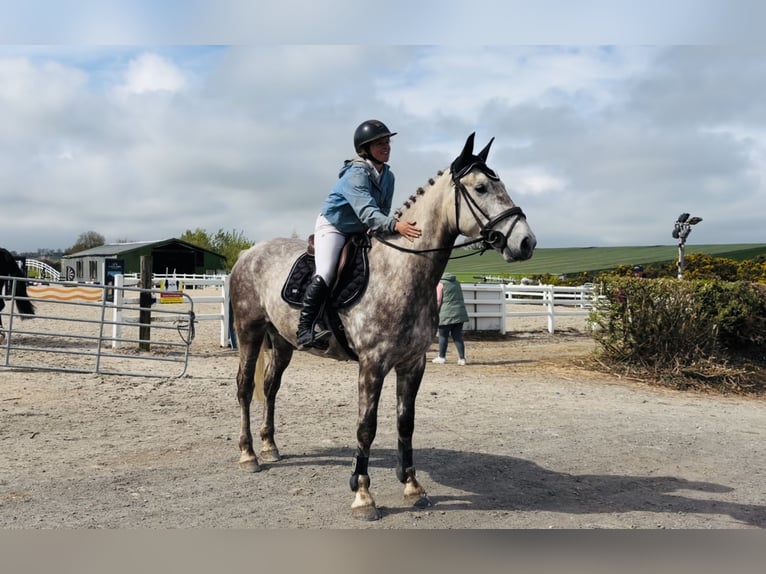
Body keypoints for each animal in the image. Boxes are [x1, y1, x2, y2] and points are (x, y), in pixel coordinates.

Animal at [229, 133, 537, 520]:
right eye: (481, 187)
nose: (526, 242)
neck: (402, 271)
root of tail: (248, 254)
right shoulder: (372, 365)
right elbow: (367, 427)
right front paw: (363, 495)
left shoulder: (412, 364)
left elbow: (406, 423)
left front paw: (412, 486)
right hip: (250, 331)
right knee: (244, 388)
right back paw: (249, 454)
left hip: (282, 341)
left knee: (270, 388)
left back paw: (270, 446)